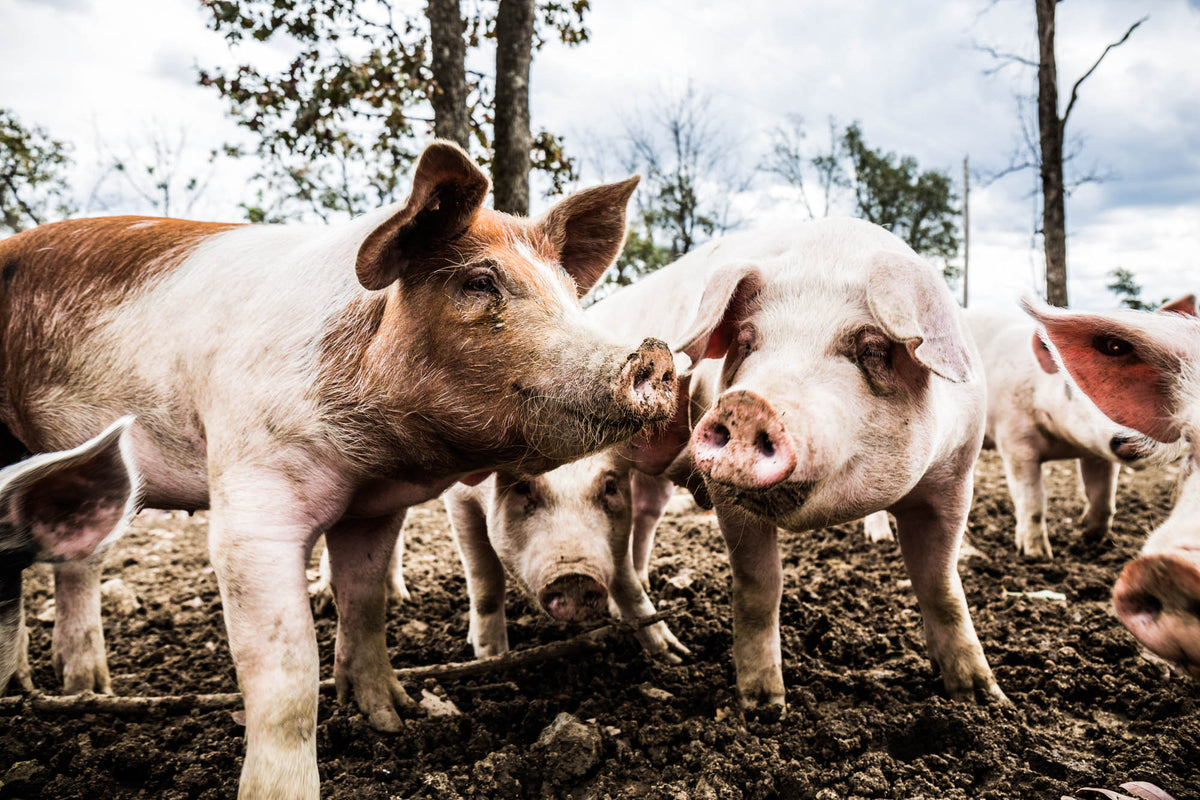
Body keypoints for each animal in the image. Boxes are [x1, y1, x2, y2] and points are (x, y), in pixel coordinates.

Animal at [442, 449, 689, 662]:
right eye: (522, 487)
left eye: (610, 487)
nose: (574, 577)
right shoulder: (458, 497)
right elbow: (485, 578)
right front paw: (492, 657)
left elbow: (628, 583)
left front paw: (676, 656)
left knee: (648, 512)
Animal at [584, 217, 1007, 711]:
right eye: (746, 342)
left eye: (872, 350)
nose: (747, 405)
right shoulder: (729, 499)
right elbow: (758, 587)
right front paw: (763, 707)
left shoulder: (955, 478)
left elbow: (940, 584)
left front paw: (983, 697)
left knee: (644, 521)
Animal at [864, 304, 1186, 557]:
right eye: (1072, 390)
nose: (1132, 441)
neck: (1063, 445)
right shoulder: (1014, 440)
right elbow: (1032, 500)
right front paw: (1037, 555)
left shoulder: (1096, 452)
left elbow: (1103, 496)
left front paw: (1090, 535)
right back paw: (880, 540)